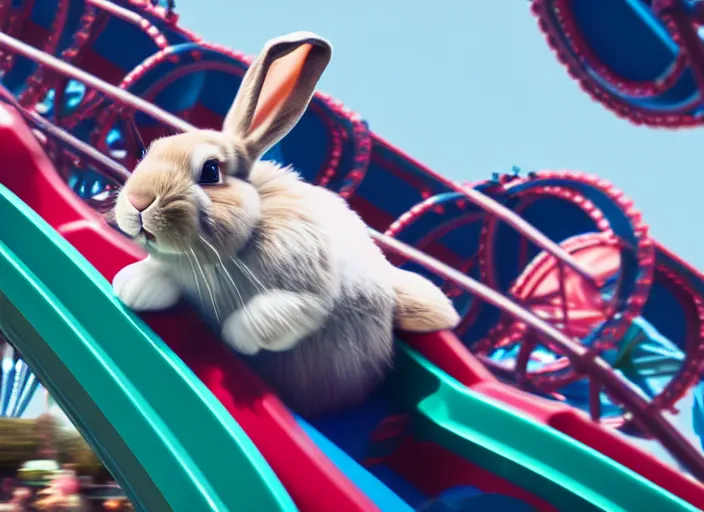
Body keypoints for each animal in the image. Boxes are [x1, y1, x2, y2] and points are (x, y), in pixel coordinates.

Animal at [110, 31, 462, 416]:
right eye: (149, 152)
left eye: (211, 171)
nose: (138, 201)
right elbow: (158, 274)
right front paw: (132, 287)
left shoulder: (306, 296)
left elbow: (271, 315)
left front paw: (236, 338)